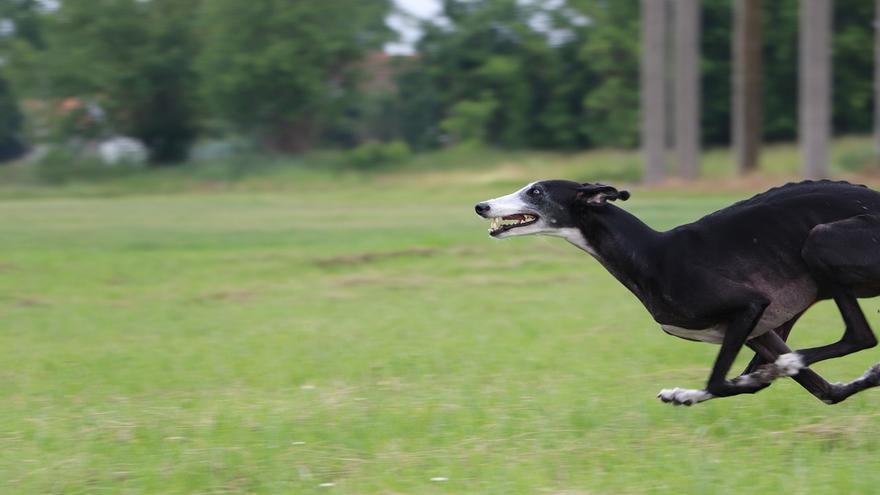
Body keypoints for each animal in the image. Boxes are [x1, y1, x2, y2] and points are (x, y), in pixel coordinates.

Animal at [478, 180, 880, 404]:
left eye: (536, 191)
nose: (481, 206)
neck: (650, 251)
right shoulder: (760, 330)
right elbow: (820, 391)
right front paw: (683, 395)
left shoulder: (750, 306)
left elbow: (720, 380)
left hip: (820, 239)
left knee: (860, 336)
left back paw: (790, 364)